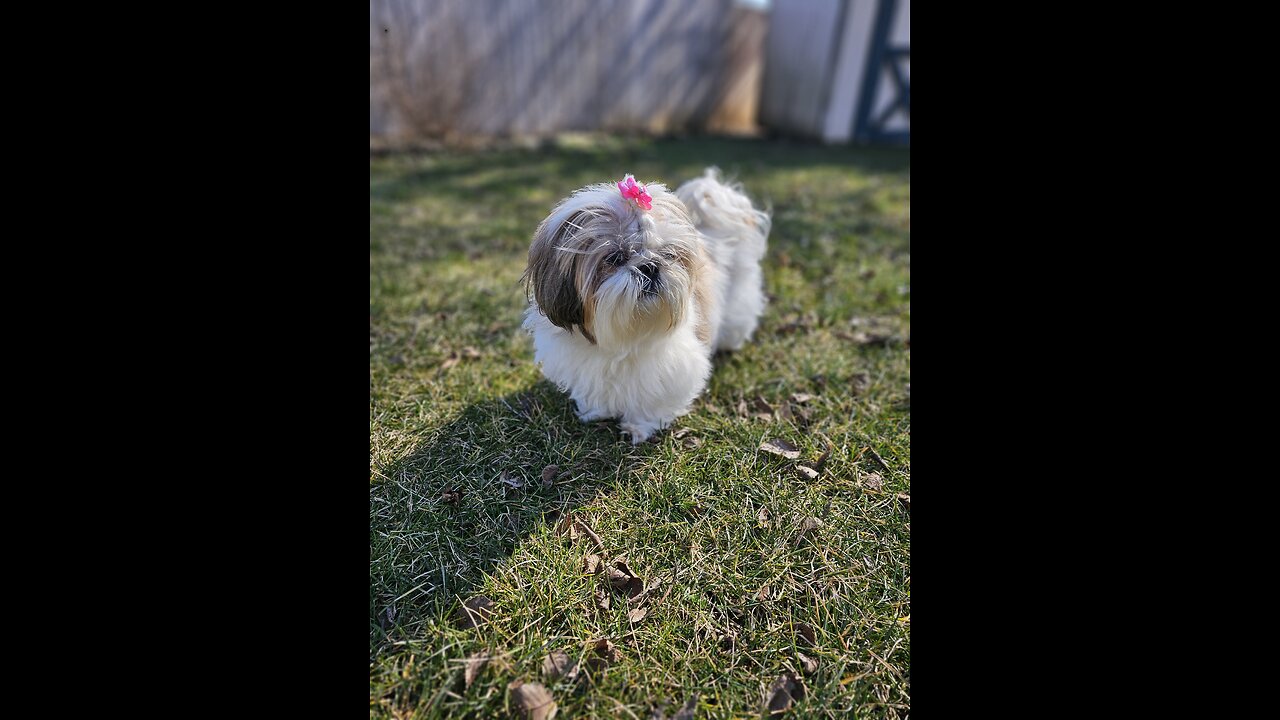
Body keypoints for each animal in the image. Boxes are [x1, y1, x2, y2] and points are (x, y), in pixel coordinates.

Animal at [519, 167, 768, 440]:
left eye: (667, 254)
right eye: (615, 257)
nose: (649, 266)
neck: (624, 332)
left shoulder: (672, 367)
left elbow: (654, 399)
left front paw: (639, 426)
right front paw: (595, 411)